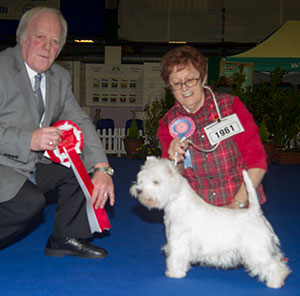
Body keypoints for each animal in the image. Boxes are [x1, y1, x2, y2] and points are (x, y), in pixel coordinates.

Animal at [130, 157, 292, 290]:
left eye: (156, 182)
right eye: (141, 179)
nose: (138, 190)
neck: (176, 202)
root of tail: (255, 212)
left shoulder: (178, 242)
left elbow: (175, 258)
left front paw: (174, 273)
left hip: (256, 249)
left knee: (273, 266)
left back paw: (275, 283)